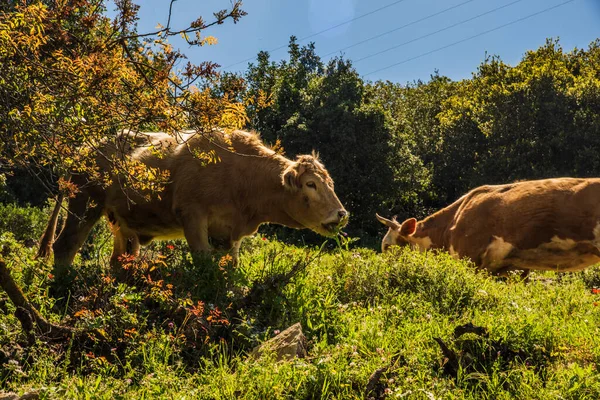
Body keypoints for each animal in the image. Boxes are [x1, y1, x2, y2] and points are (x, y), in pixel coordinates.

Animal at [44, 129, 350, 266]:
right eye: (310, 184)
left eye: (330, 183)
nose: (341, 214)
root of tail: (87, 146)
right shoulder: (192, 216)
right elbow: (203, 264)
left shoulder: (228, 233)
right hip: (85, 202)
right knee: (66, 246)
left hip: (122, 222)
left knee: (120, 258)